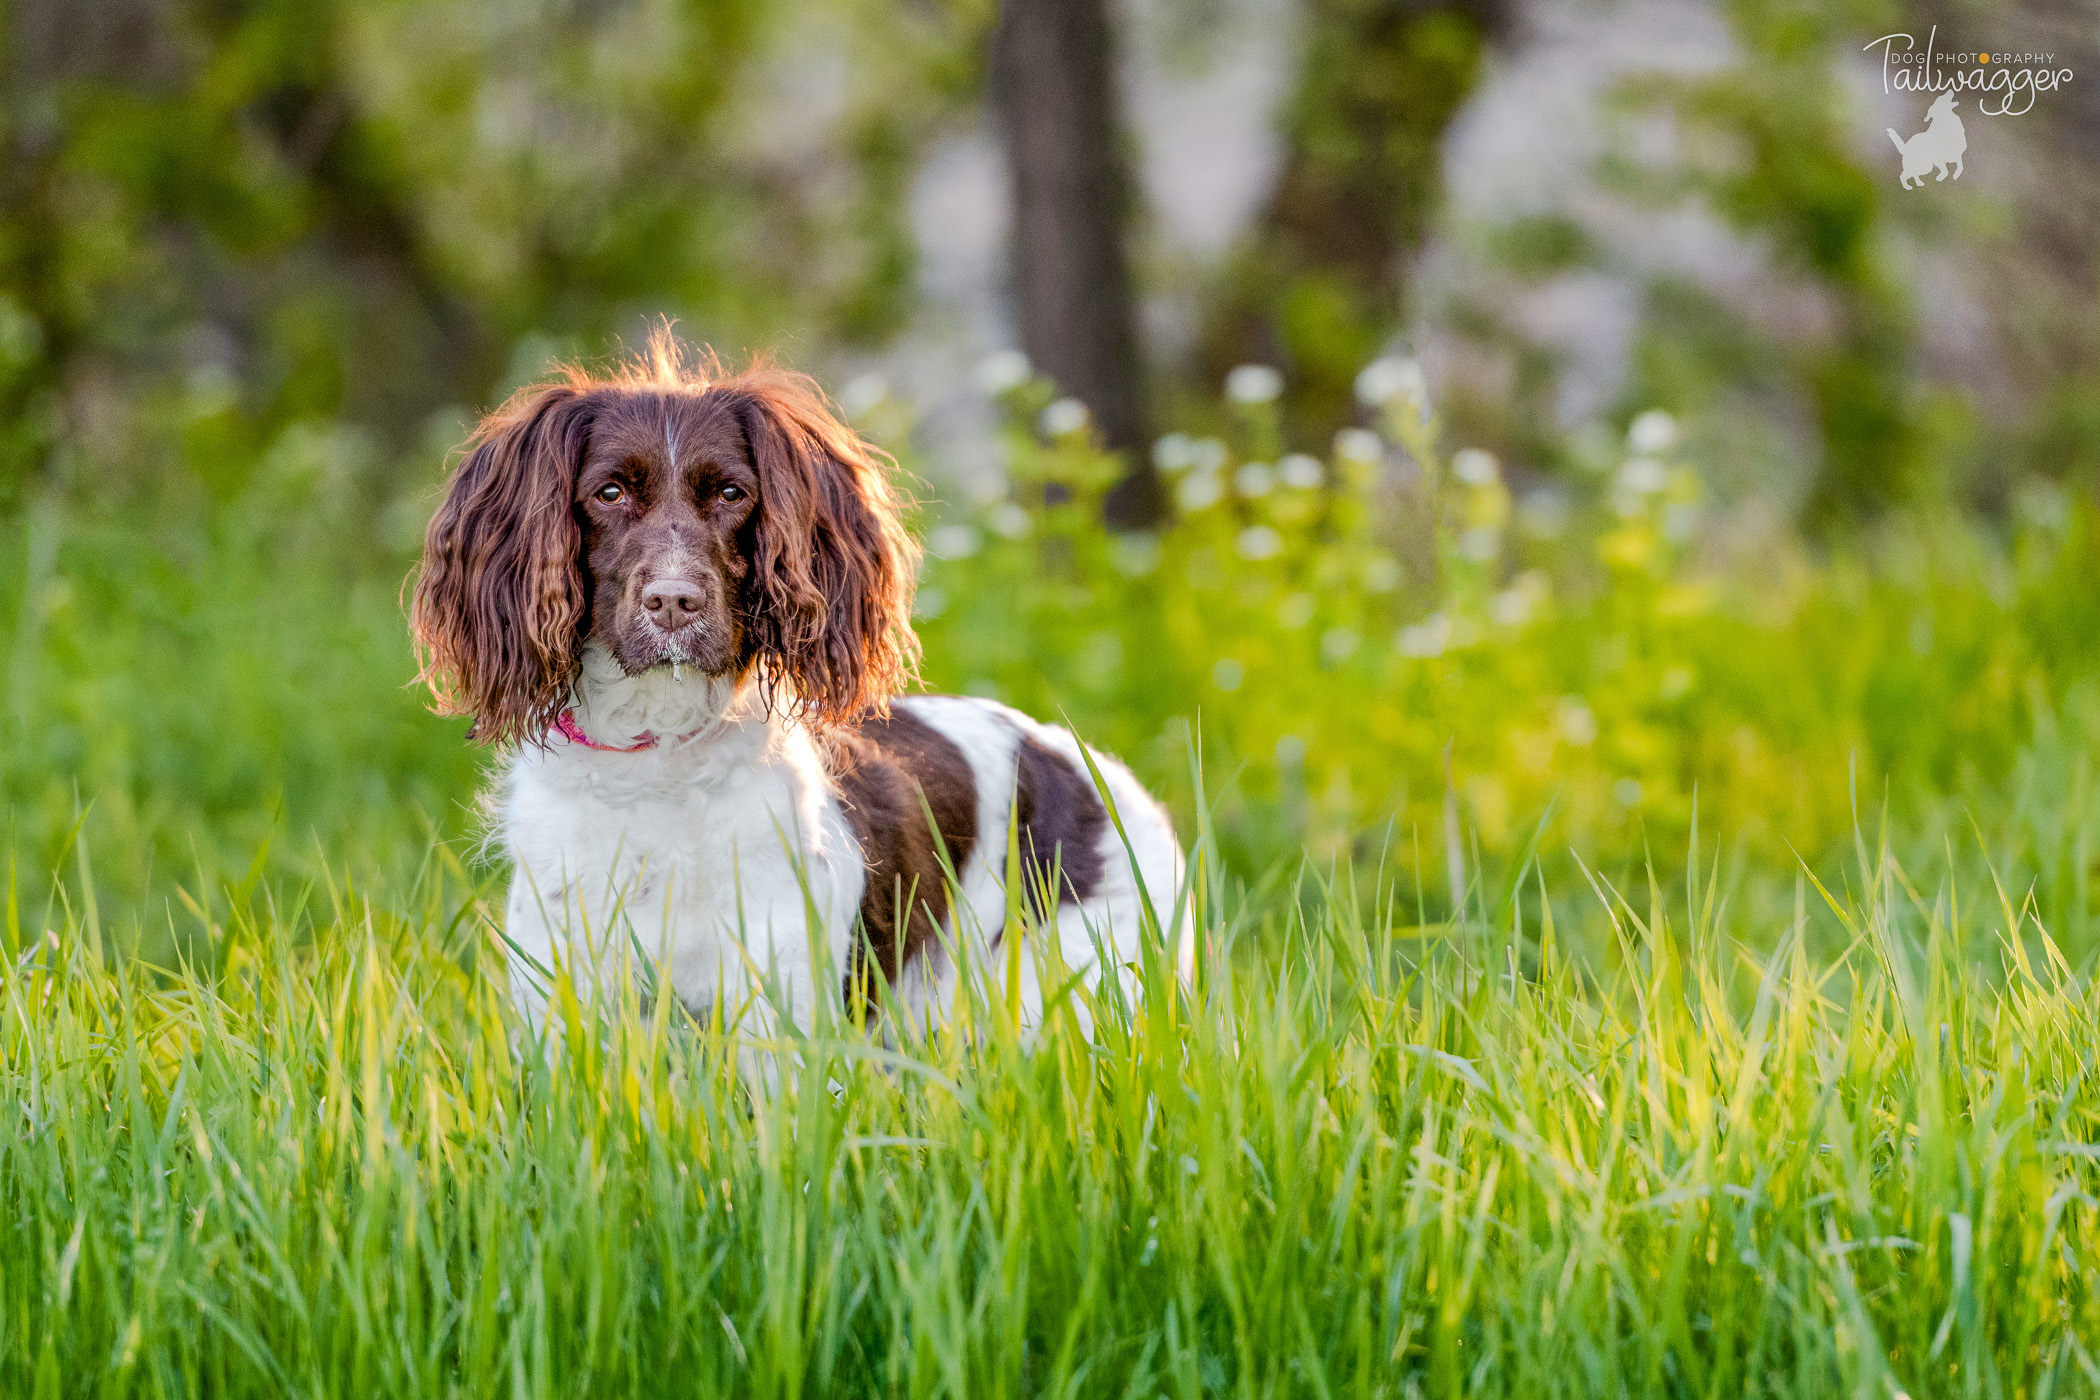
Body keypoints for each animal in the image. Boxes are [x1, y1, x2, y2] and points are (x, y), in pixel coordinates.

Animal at [409, 342, 1192, 1041]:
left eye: (732, 493)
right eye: (609, 493)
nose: (674, 602)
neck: (655, 760)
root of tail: (1076, 760)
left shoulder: (779, 1010)